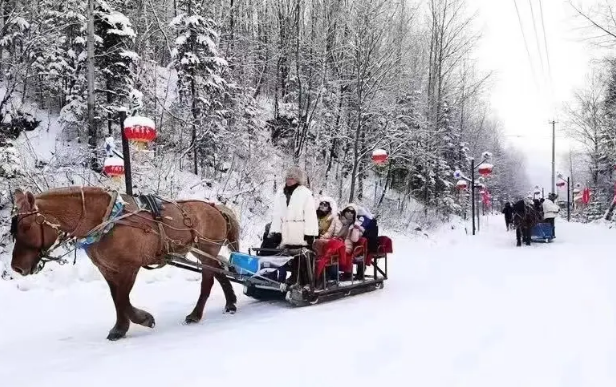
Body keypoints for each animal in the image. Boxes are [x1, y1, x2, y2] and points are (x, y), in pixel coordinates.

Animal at [10, 186, 241, 342]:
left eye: (26, 226)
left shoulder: (129, 267)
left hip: (207, 249)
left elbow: (122, 299)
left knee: (208, 280)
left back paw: (195, 314)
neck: (105, 220)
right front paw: (120, 329)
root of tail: (215, 207)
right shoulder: (107, 269)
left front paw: (143, 319)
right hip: (202, 251)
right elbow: (116, 298)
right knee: (219, 272)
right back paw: (230, 303)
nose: (16, 267)